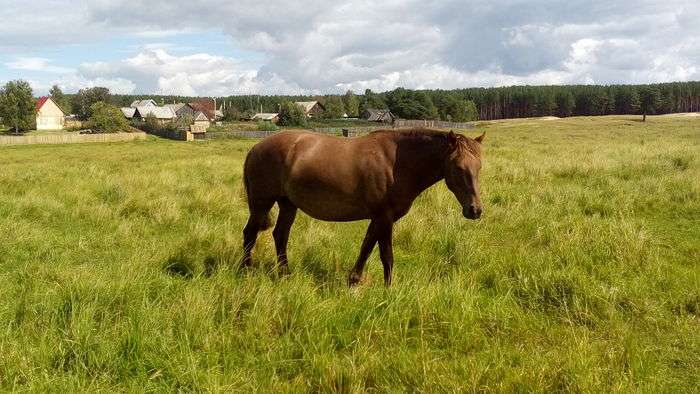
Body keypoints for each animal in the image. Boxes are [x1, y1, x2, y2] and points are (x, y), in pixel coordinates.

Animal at [241, 127, 486, 284]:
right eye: (458, 167)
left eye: (479, 166)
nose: (474, 210)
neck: (396, 164)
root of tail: (255, 147)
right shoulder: (385, 217)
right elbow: (386, 255)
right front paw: (389, 290)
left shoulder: (379, 217)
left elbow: (367, 246)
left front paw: (354, 279)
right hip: (262, 203)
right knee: (250, 233)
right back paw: (245, 270)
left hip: (288, 204)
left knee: (280, 235)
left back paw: (285, 274)